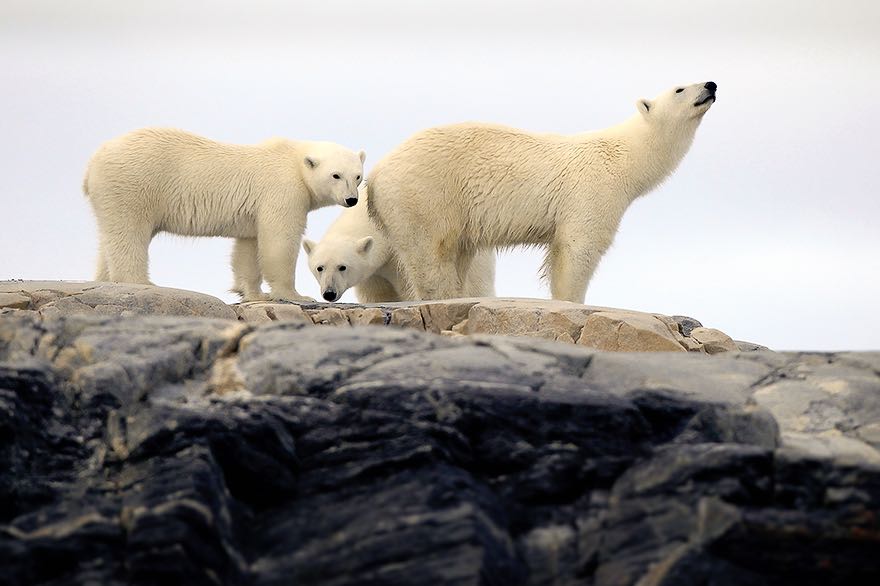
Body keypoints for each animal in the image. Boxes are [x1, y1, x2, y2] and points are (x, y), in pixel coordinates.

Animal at [82, 128, 364, 302]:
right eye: (336, 175)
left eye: (358, 176)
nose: (352, 200)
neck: (294, 162)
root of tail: (92, 164)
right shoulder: (283, 191)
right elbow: (279, 241)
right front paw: (294, 295)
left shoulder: (254, 211)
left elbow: (248, 248)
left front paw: (253, 294)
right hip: (133, 185)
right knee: (130, 233)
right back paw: (142, 283)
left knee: (110, 237)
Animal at [302, 186, 496, 302]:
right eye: (320, 267)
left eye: (342, 267)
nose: (329, 293)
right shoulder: (372, 274)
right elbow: (377, 295)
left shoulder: (400, 260)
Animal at [368, 81, 720, 304]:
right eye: (679, 88)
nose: (711, 85)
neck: (624, 157)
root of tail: (376, 173)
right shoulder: (591, 191)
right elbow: (578, 248)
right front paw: (571, 301)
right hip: (426, 194)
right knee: (432, 253)